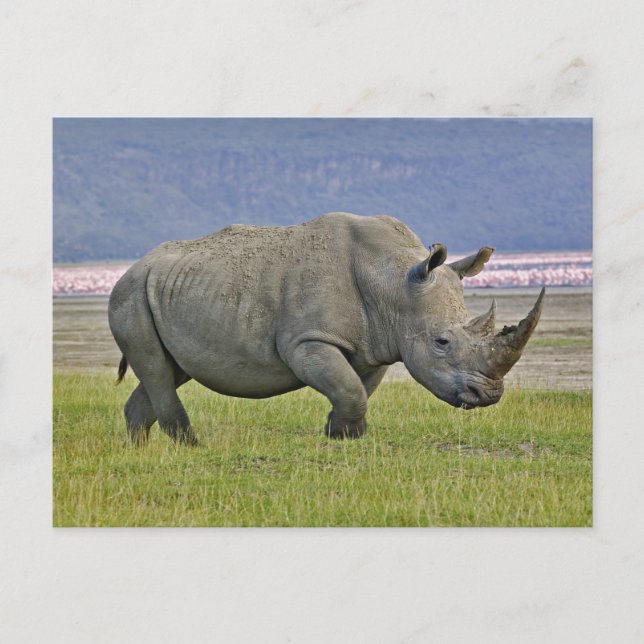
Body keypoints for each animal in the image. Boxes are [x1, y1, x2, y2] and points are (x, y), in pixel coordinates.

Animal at [108, 212, 544, 444]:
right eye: (442, 341)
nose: (488, 396)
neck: (394, 282)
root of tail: (133, 267)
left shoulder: (376, 345)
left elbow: (356, 389)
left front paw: (341, 435)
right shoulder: (308, 340)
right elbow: (349, 388)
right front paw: (345, 434)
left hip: (167, 292)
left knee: (171, 370)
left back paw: (139, 449)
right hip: (129, 294)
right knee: (157, 368)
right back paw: (193, 447)